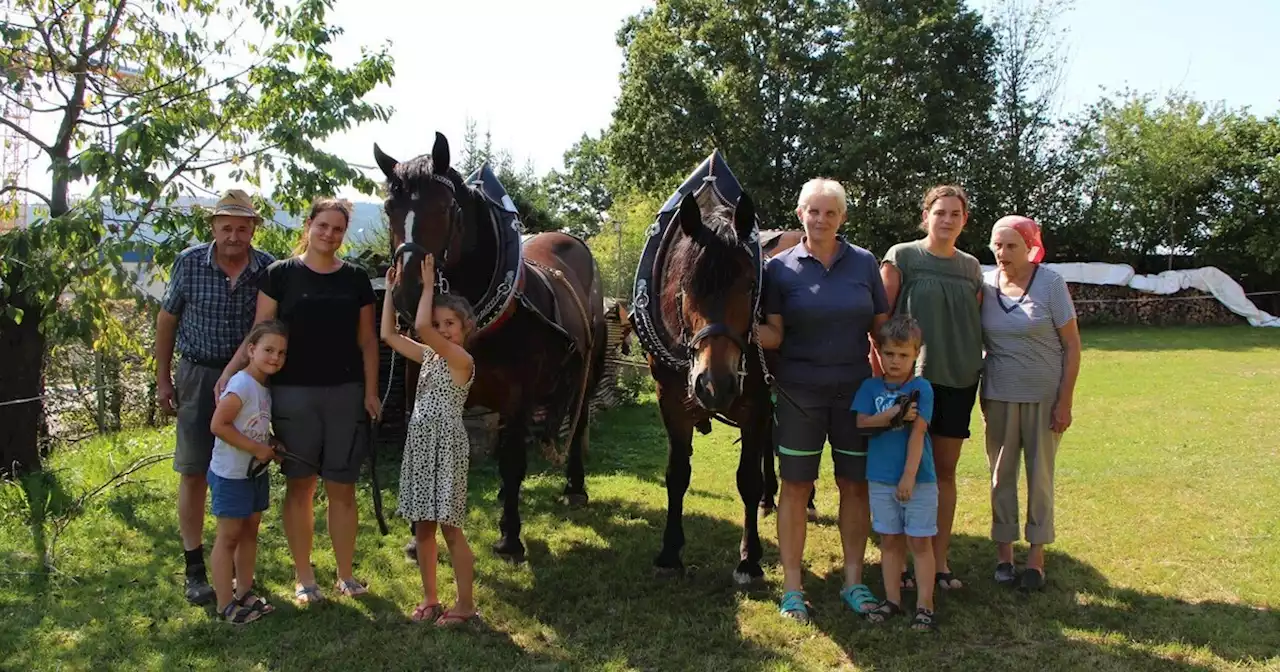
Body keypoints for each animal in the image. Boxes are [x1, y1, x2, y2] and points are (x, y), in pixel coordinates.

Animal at [373, 132, 606, 560]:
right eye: (389, 208)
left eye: (444, 207)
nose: (408, 294)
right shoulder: (418, 383)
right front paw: (417, 536)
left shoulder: (519, 396)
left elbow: (513, 459)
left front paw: (510, 538)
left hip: (590, 367)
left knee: (578, 417)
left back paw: (574, 487)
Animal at [629, 151, 768, 581]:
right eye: (685, 285)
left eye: (750, 286)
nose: (714, 385)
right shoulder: (669, 399)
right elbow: (677, 474)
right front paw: (670, 551)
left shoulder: (757, 405)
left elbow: (749, 479)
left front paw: (749, 559)